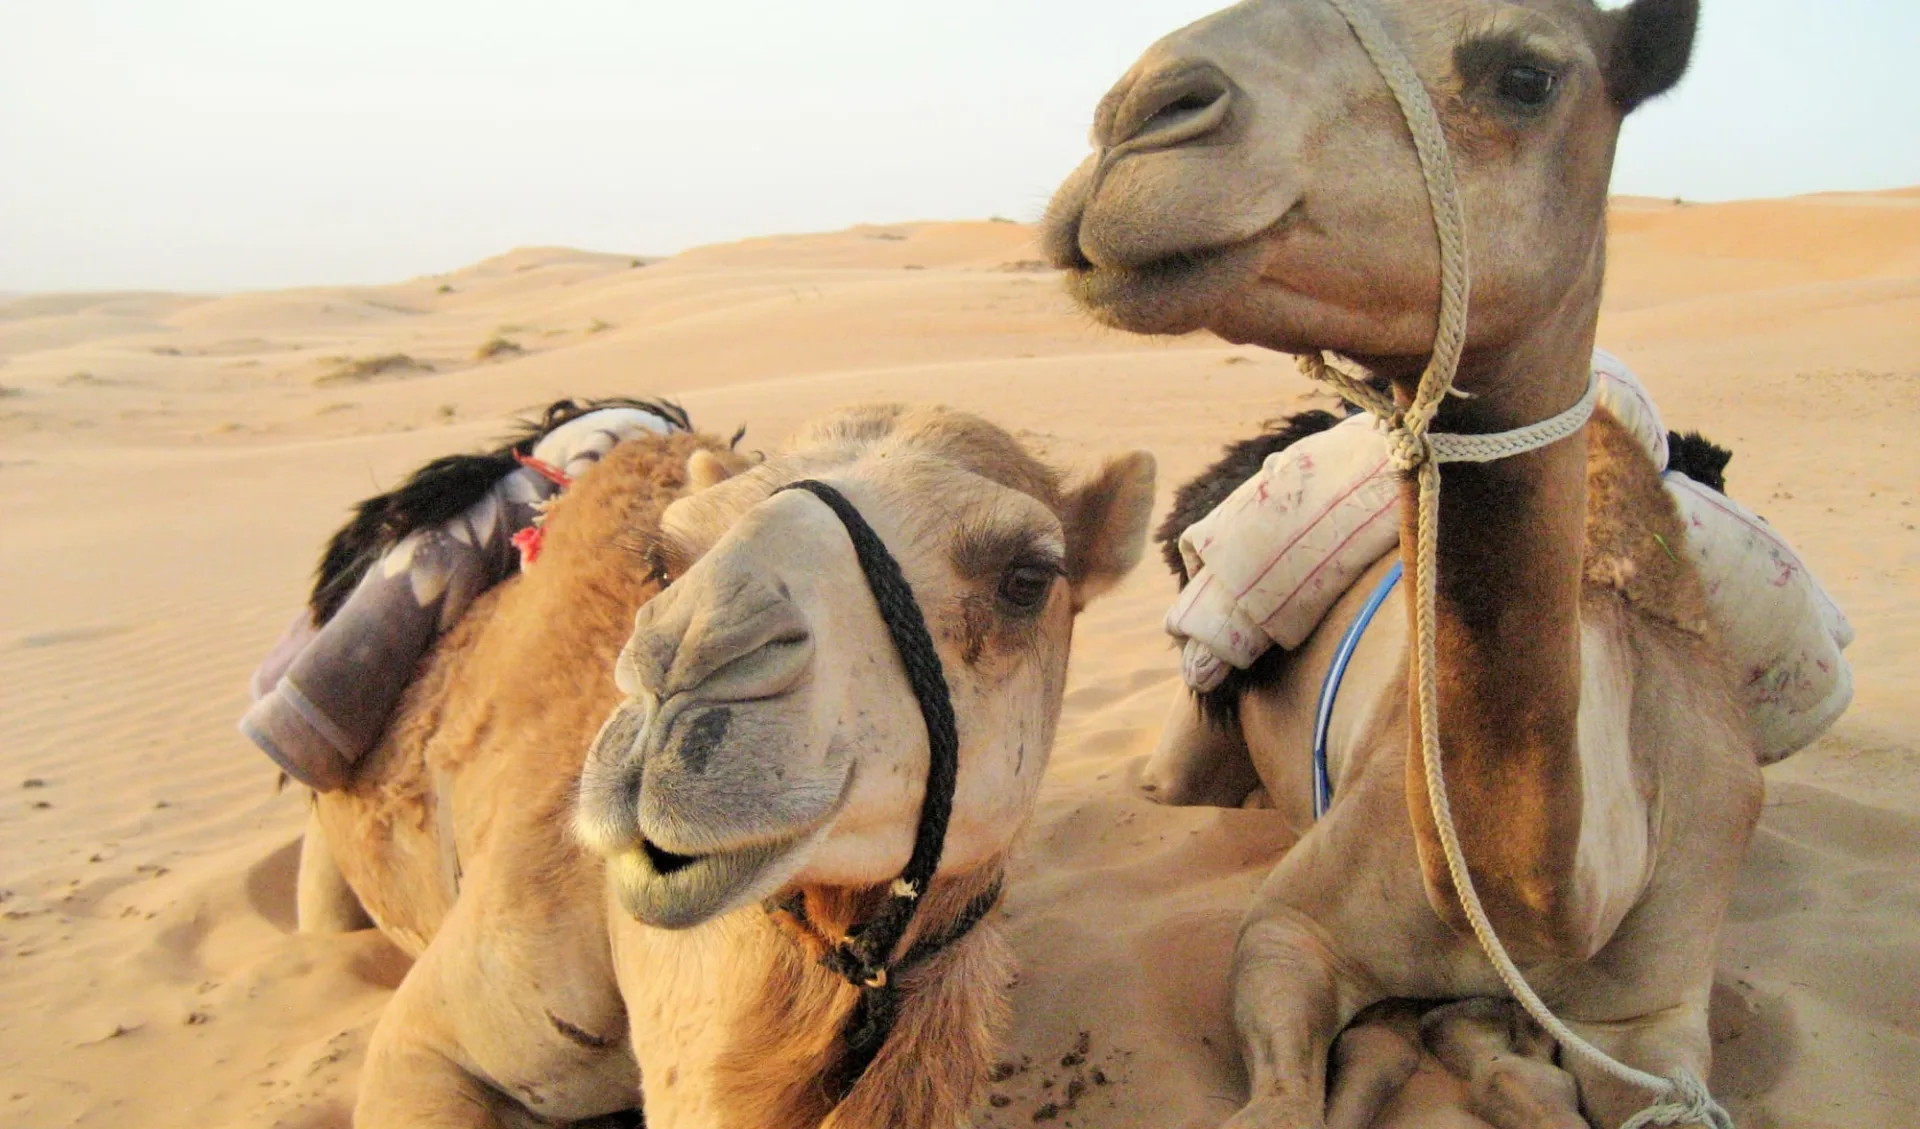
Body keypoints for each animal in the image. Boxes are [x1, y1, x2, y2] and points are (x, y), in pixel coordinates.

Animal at [1041, 1, 1761, 1127]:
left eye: (1525, 74)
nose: (1134, 119)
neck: (1542, 906)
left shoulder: (1659, 1017)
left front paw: (1477, 1046)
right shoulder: (1287, 933)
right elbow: (1290, 1083)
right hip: (1187, 747)